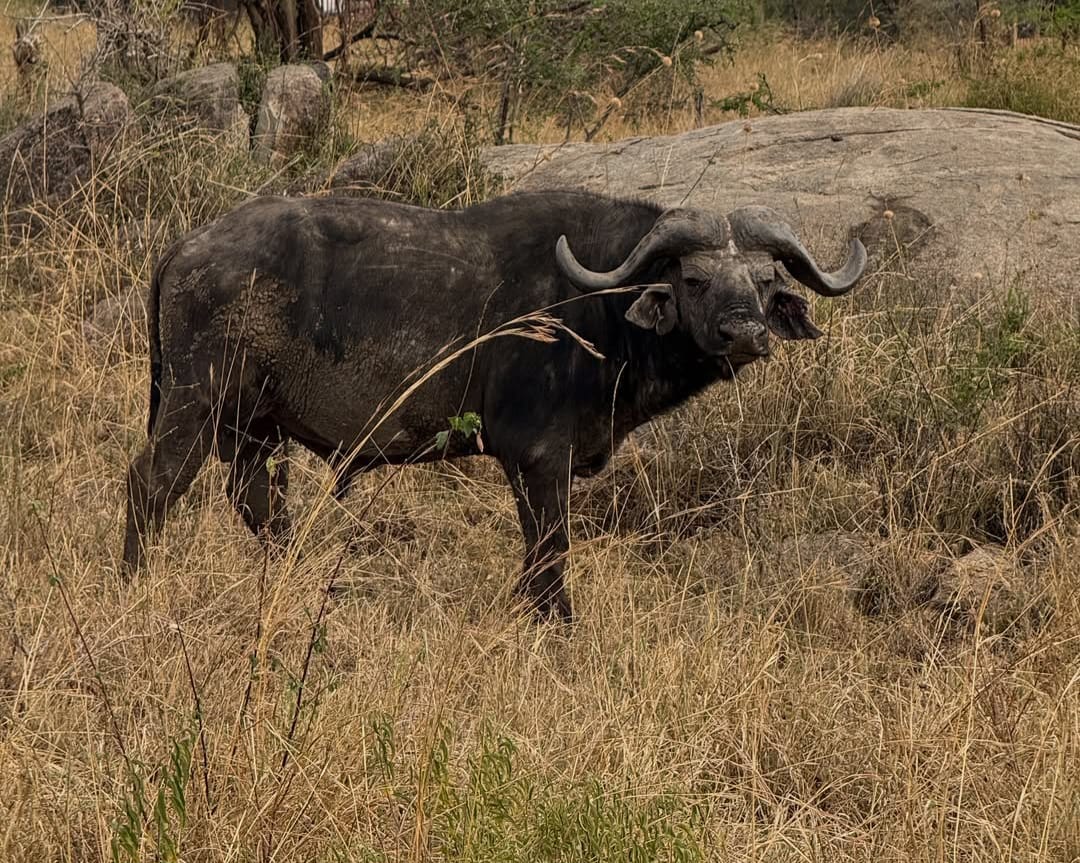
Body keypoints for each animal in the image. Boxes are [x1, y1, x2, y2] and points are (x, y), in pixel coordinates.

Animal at [123, 190, 866, 620]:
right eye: (694, 279)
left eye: (764, 279)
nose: (745, 332)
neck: (594, 309)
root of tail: (185, 248)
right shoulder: (538, 458)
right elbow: (550, 548)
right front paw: (556, 621)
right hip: (194, 403)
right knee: (150, 484)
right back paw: (135, 580)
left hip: (254, 428)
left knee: (258, 504)